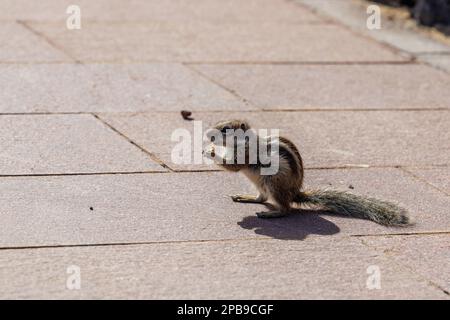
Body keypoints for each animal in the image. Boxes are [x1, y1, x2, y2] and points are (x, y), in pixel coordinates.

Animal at [204, 119, 412, 226]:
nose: (207, 134)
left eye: (225, 129)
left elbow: (233, 167)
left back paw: (272, 214)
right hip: (261, 184)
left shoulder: (246, 154)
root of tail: (295, 193)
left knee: (285, 209)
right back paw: (245, 197)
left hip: (274, 182)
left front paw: (210, 151)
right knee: (262, 198)